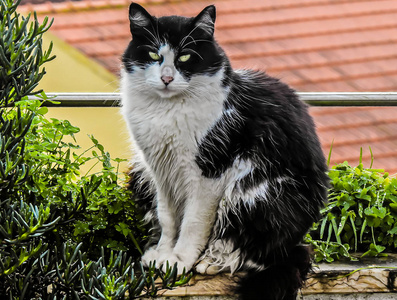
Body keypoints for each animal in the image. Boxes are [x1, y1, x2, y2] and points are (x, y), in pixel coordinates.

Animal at [120, 2, 328, 300]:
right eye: (152, 54)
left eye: (185, 57)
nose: (167, 78)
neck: (166, 110)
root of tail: (295, 243)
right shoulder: (159, 170)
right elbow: (167, 217)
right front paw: (162, 254)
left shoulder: (210, 172)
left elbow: (193, 222)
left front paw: (179, 261)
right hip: (141, 174)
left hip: (255, 192)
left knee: (256, 252)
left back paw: (212, 261)